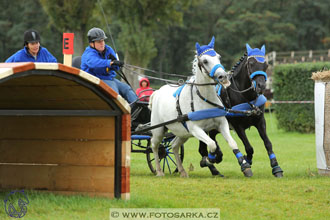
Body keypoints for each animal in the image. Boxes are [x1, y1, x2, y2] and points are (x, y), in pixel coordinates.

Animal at [148, 36, 251, 177]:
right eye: (205, 61)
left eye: (218, 57)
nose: (223, 77)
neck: (204, 99)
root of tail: (157, 92)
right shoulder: (196, 129)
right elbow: (212, 144)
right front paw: (209, 159)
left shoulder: (221, 124)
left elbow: (232, 142)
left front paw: (245, 165)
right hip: (159, 129)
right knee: (155, 145)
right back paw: (159, 171)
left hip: (183, 133)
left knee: (174, 145)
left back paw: (182, 171)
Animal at [199, 43, 284, 178]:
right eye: (251, 63)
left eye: (266, 65)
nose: (261, 86)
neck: (244, 95)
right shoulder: (238, 125)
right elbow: (249, 147)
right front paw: (246, 161)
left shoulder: (260, 121)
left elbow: (268, 143)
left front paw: (276, 167)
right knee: (203, 149)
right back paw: (211, 165)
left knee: (211, 139)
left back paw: (215, 160)